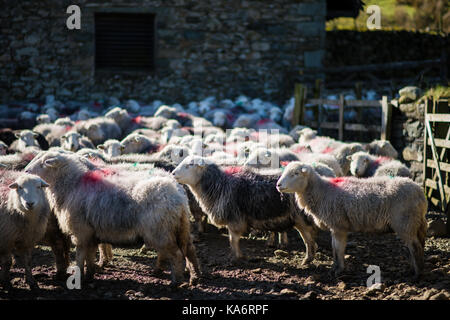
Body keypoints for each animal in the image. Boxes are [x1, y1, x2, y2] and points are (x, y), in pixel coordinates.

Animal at [24, 151, 200, 286]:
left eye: (43, 163)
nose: (25, 172)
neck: (71, 185)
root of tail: (178, 195)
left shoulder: (81, 230)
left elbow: (80, 255)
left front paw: (80, 275)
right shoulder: (91, 232)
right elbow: (90, 254)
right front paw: (90, 274)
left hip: (160, 229)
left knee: (176, 254)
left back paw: (176, 282)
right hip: (179, 227)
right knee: (189, 250)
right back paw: (193, 277)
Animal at [171, 156, 316, 264]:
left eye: (190, 164)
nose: (173, 173)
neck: (220, 185)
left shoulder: (235, 219)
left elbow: (233, 239)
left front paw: (237, 257)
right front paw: (237, 256)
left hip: (301, 217)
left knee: (308, 239)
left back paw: (307, 259)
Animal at [276, 162, 428, 278]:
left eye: (296, 173)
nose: (278, 185)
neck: (322, 191)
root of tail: (420, 192)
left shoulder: (339, 226)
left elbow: (338, 249)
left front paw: (338, 270)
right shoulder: (335, 227)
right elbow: (334, 248)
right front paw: (334, 267)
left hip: (405, 222)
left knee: (415, 247)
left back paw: (417, 274)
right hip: (412, 223)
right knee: (416, 246)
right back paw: (414, 269)